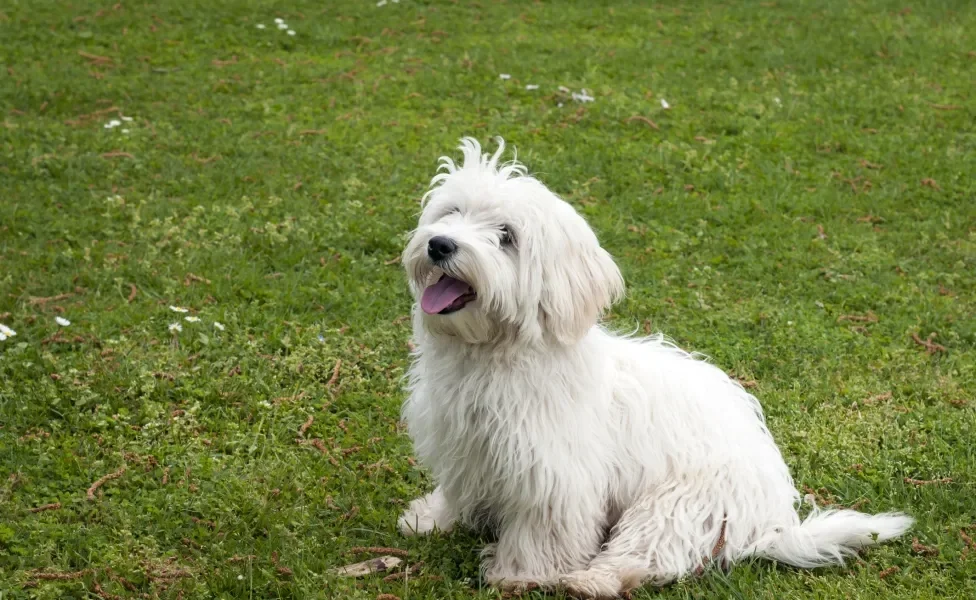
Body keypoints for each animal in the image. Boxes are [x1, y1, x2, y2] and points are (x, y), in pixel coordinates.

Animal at [392, 138, 912, 596]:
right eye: (452, 213)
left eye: (506, 237)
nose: (440, 245)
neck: (491, 352)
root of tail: (772, 522)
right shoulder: (464, 445)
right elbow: (458, 490)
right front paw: (432, 518)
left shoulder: (554, 472)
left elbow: (543, 528)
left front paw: (519, 574)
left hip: (678, 504)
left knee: (647, 553)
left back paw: (592, 581)